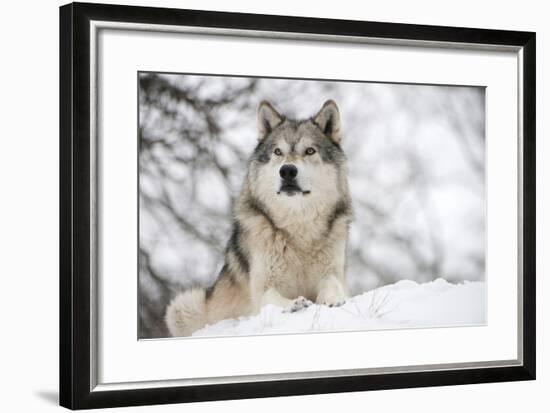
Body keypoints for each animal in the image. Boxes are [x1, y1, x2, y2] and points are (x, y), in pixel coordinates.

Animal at [166, 99, 354, 334]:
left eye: (310, 151)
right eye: (278, 152)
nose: (288, 171)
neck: (298, 230)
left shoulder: (332, 273)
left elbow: (332, 285)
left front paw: (333, 299)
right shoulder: (262, 287)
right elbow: (271, 297)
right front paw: (295, 304)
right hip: (183, 305)